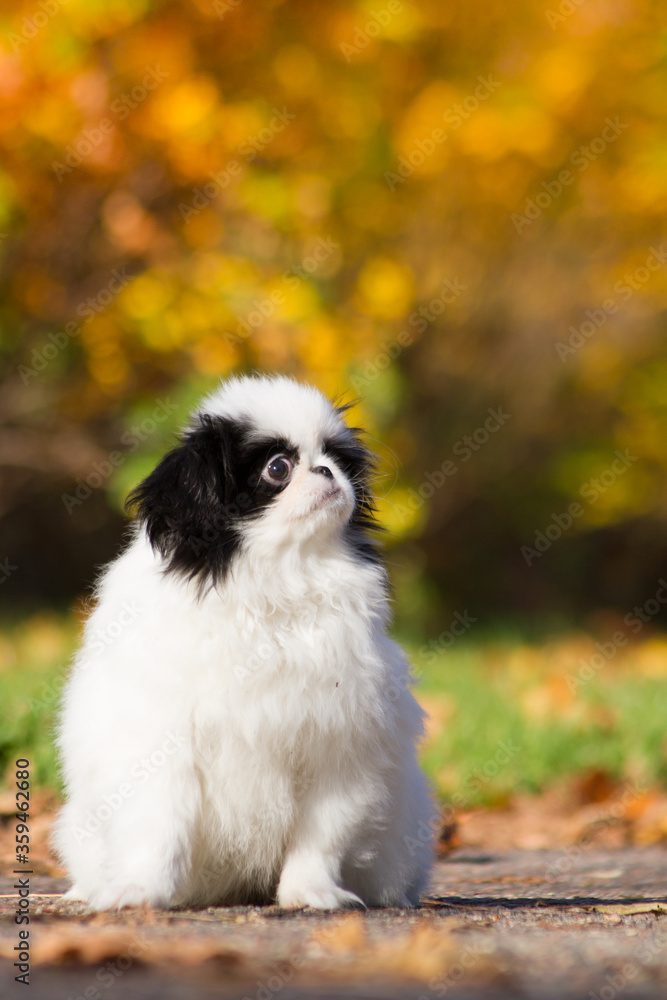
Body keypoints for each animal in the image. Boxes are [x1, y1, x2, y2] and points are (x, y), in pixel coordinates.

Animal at [54, 372, 436, 912]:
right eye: (278, 469)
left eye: (336, 458)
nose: (327, 471)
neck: (274, 581)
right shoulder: (160, 749)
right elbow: (157, 830)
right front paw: (140, 892)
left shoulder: (338, 746)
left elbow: (320, 839)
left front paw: (311, 893)